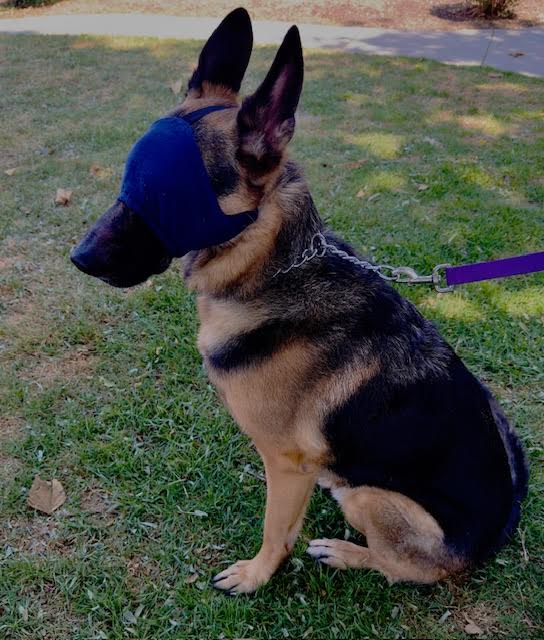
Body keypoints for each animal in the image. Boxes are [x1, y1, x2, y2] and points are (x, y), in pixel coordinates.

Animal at [71, 7, 528, 596]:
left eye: (163, 194)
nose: (79, 257)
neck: (272, 269)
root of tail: (498, 532)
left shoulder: (286, 465)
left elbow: (276, 531)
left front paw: (256, 576)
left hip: (369, 498)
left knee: (401, 568)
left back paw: (345, 552)